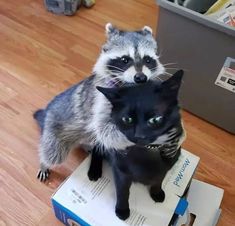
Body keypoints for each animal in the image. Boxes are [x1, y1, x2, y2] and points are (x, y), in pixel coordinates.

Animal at [34, 23, 184, 182]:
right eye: (125, 60)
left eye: (148, 60)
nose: (141, 78)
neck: (132, 86)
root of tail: (48, 111)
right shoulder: (101, 99)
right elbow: (105, 129)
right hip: (55, 132)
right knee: (53, 153)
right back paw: (44, 163)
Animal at [87, 69, 184, 220]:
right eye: (127, 119)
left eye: (155, 119)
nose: (139, 135)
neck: (147, 152)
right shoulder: (120, 171)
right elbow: (123, 192)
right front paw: (122, 210)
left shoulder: (166, 167)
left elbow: (159, 179)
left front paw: (157, 193)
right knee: (96, 151)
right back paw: (94, 171)